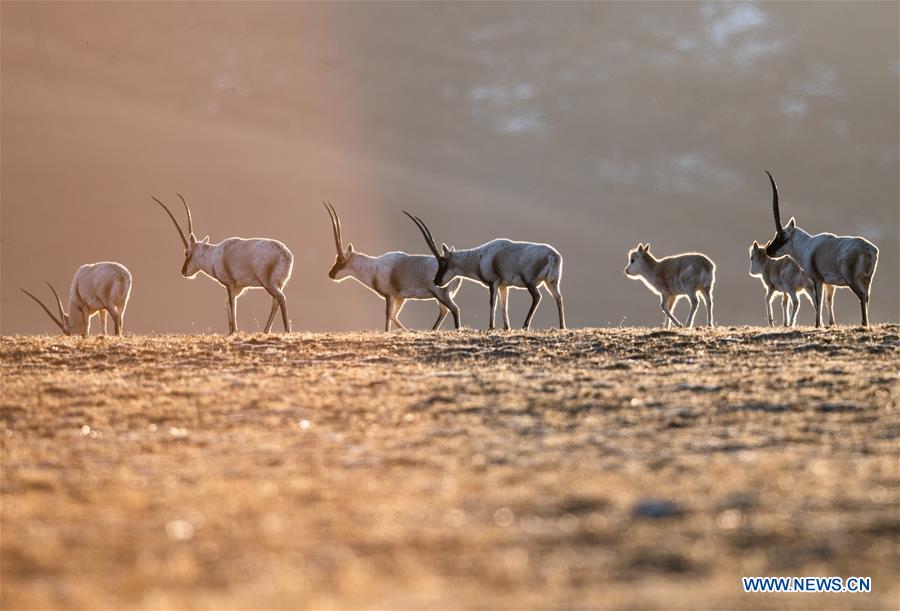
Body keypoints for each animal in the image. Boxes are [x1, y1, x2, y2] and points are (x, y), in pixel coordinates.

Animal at [153, 195, 294, 334]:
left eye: (187, 253)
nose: (183, 271)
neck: (214, 255)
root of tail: (286, 254)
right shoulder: (238, 288)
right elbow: (228, 303)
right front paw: (230, 331)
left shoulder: (229, 284)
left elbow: (232, 304)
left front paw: (235, 330)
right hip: (279, 284)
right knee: (275, 302)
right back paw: (266, 331)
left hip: (268, 283)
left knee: (281, 298)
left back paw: (287, 330)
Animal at [326, 203, 464, 332]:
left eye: (341, 259)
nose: (331, 274)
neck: (373, 267)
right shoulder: (399, 297)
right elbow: (393, 316)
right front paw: (407, 331)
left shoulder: (389, 296)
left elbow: (388, 315)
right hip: (441, 296)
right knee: (444, 311)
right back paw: (433, 330)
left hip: (441, 294)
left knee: (454, 309)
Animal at [406, 213, 568, 332]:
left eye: (443, 263)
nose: (436, 281)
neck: (480, 257)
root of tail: (553, 255)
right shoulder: (503, 286)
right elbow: (503, 304)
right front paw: (506, 327)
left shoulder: (493, 282)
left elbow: (492, 302)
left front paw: (491, 326)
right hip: (551, 283)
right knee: (558, 297)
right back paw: (562, 326)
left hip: (530, 282)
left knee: (537, 297)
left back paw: (525, 326)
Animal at [760, 170, 880, 328]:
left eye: (782, 236)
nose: (768, 251)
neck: (806, 245)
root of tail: (868, 249)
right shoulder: (828, 283)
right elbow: (827, 301)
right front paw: (828, 324)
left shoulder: (817, 279)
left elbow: (818, 302)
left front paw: (817, 325)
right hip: (867, 280)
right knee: (867, 297)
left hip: (853, 280)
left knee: (862, 295)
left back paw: (864, 324)